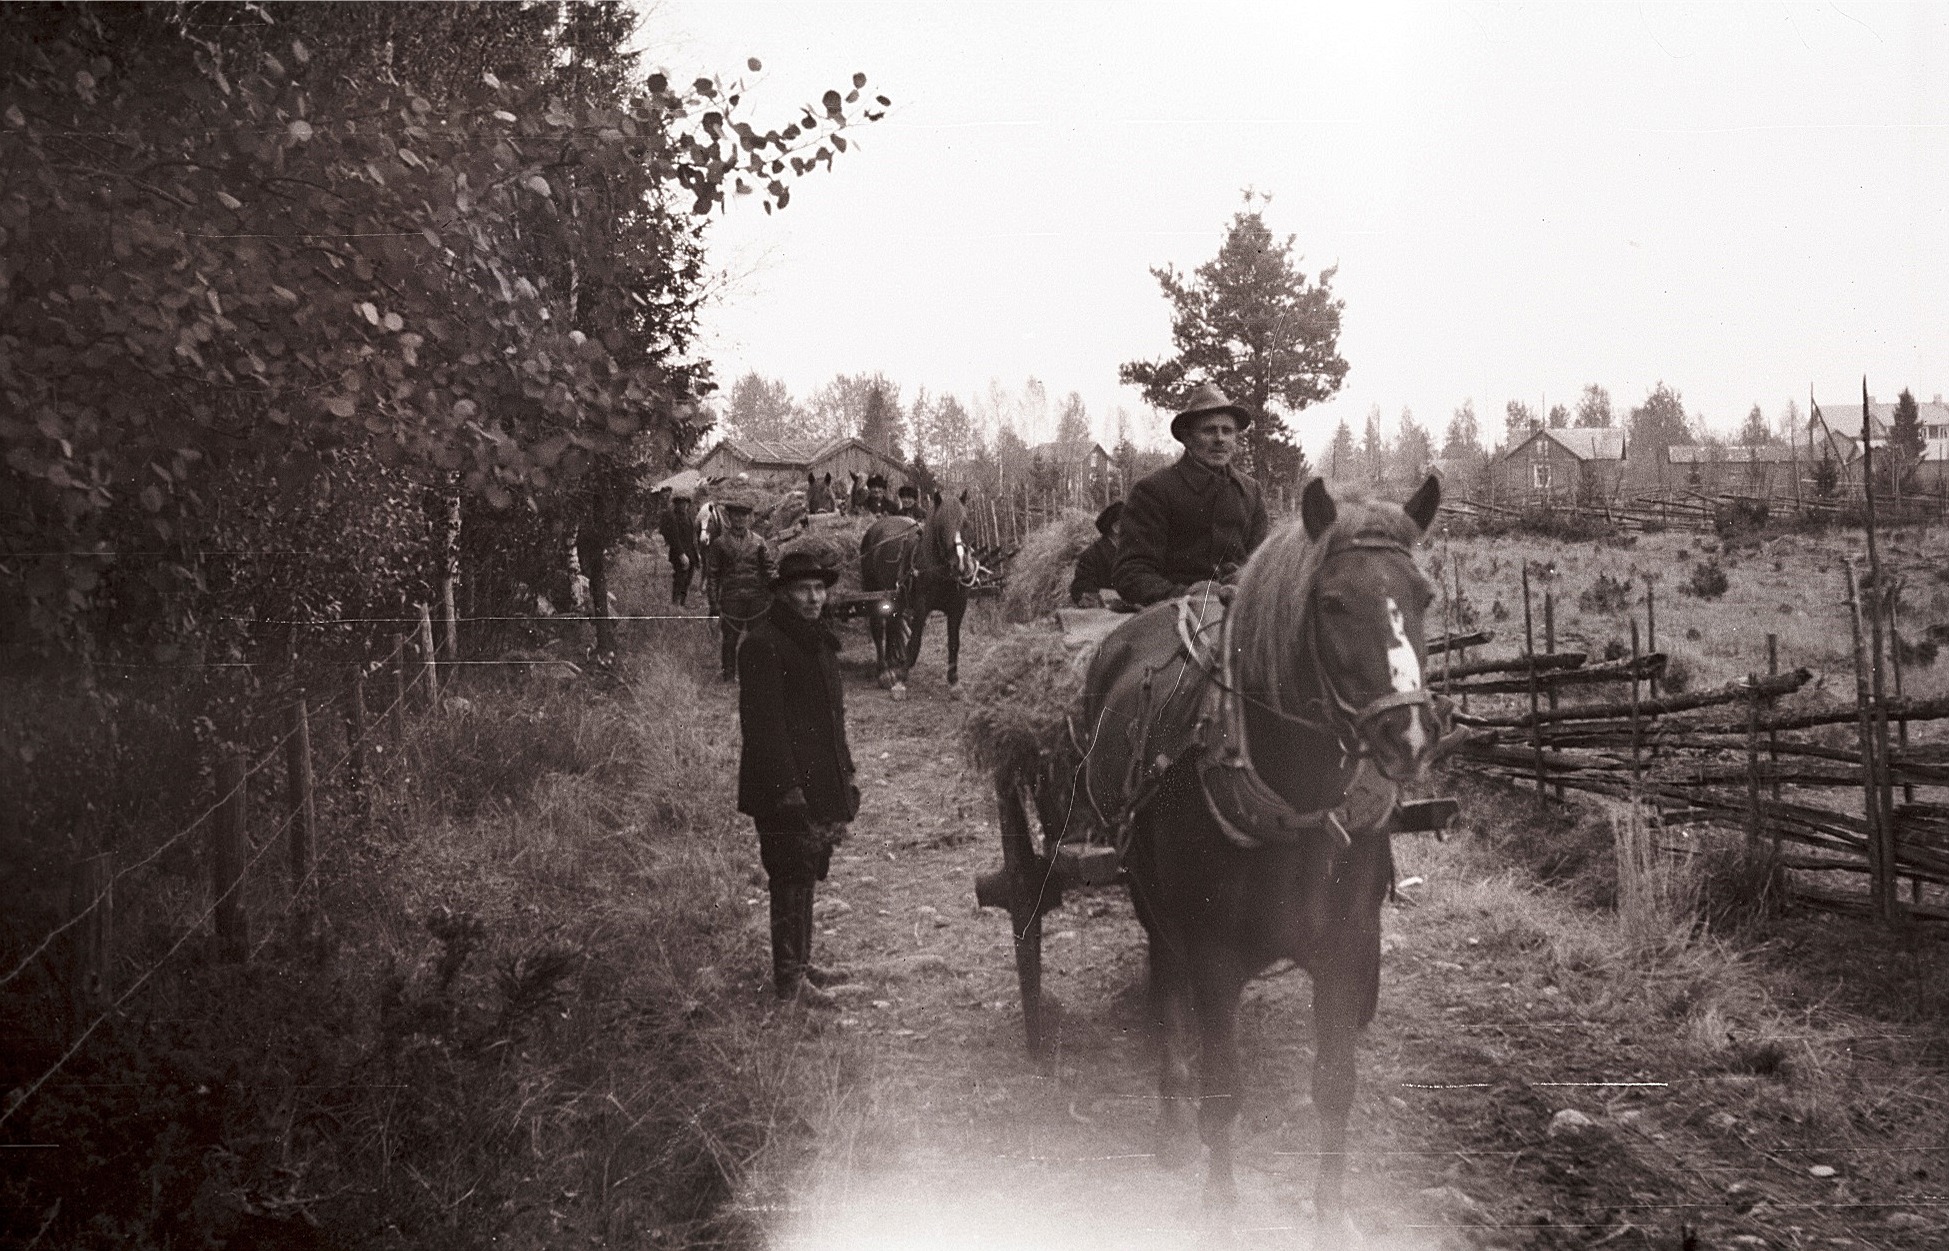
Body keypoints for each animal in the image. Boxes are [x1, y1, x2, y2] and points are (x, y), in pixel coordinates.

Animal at [1005, 475, 1450, 1231]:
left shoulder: (1348, 946)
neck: (1297, 807)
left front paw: (1330, 1210)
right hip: (1144, 889)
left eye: (1423, 596)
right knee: (1165, 984)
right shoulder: (1214, 953)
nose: (1409, 734)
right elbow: (1223, 1084)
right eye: (1332, 602)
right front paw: (1218, 1198)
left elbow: (1335, 1083)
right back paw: (1170, 1117)